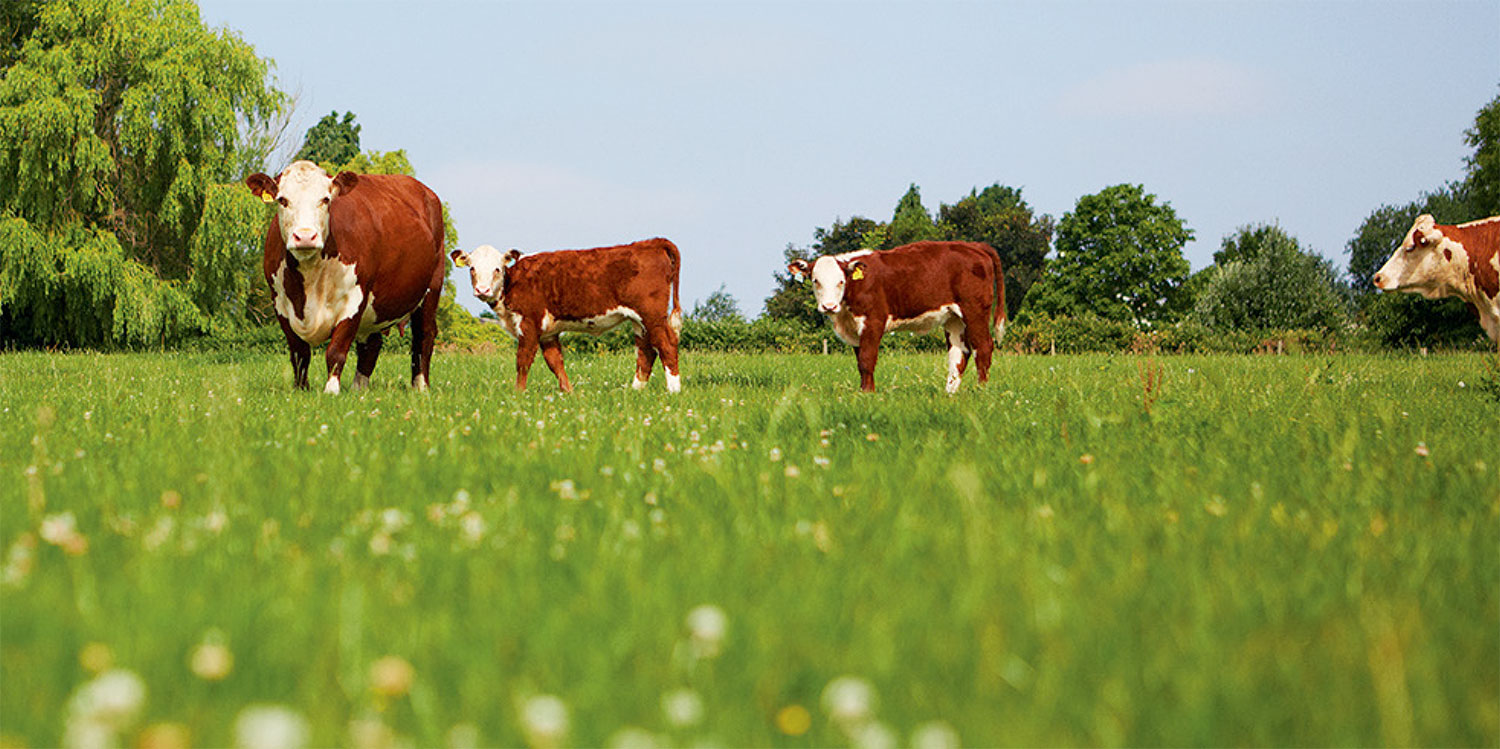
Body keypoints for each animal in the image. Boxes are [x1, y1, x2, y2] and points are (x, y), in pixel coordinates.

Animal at [244, 161, 444, 396]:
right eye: (282, 200)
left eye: (325, 199)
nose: (305, 237)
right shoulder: (280, 304)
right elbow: (300, 353)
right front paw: (301, 389)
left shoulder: (354, 299)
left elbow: (336, 350)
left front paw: (331, 391)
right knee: (371, 344)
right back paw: (359, 389)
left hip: (431, 289)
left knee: (423, 336)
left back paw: (421, 387)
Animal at [444, 238, 681, 393]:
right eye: (472, 269)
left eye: (497, 269)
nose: (482, 290)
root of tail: (650, 242)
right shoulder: (548, 332)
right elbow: (555, 362)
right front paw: (569, 392)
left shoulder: (528, 323)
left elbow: (523, 360)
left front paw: (518, 394)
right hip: (639, 321)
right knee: (646, 351)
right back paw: (634, 391)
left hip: (652, 315)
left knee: (667, 344)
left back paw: (673, 390)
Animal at [786, 241, 1008, 396]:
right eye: (815, 280)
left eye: (841, 281)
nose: (829, 306)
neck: (844, 315)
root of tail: (974, 245)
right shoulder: (854, 329)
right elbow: (860, 362)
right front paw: (863, 391)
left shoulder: (873, 321)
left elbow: (867, 360)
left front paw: (868, 394)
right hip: (954, 318)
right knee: (959, 353)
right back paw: (950, 393)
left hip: (975, 310)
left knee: (983, 347)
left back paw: (981, 390)